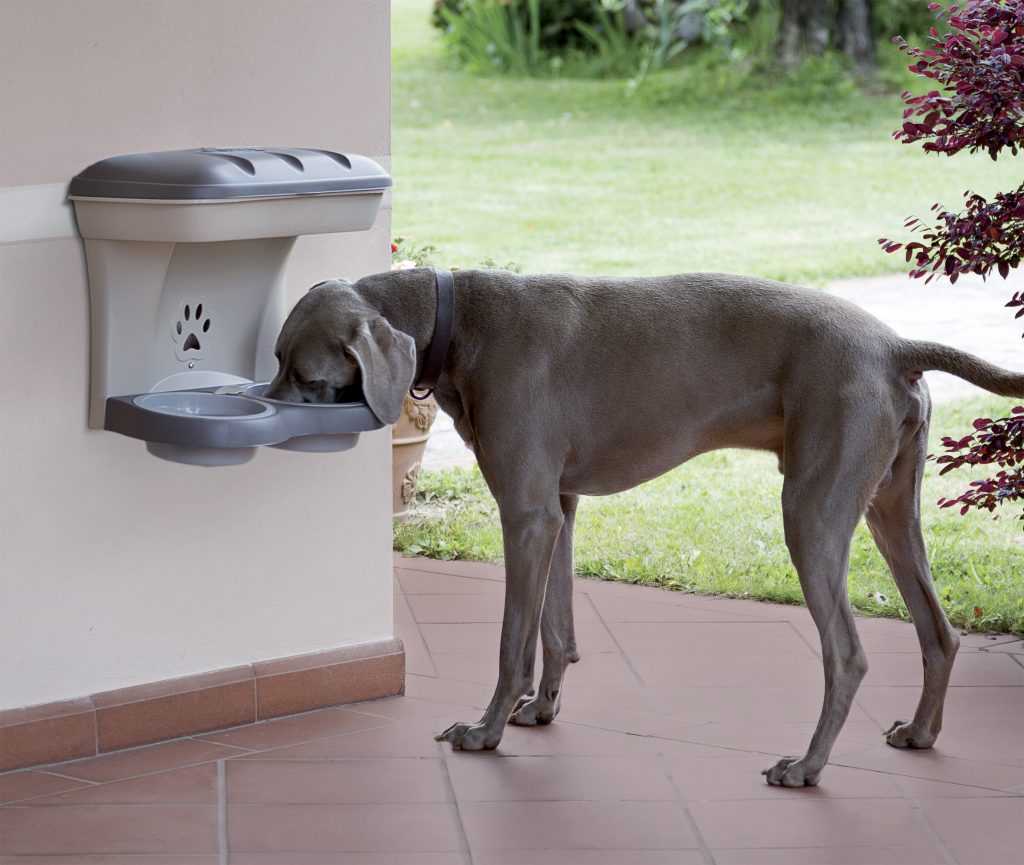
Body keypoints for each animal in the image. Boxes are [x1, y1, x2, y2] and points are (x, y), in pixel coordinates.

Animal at [266, 266, 1024, 786]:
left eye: (301, 371)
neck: (462, 321)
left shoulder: (526, 512)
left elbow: (513, 641)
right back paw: (921, 732)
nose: (262, 411)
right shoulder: (558, 506)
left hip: (812, 508)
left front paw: (485, 731)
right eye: (276, 361)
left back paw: (807, 766)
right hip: (888, 504)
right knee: (939, 631)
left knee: (848, 652)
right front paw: (541, 709)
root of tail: (895, 347)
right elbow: (557, 628)